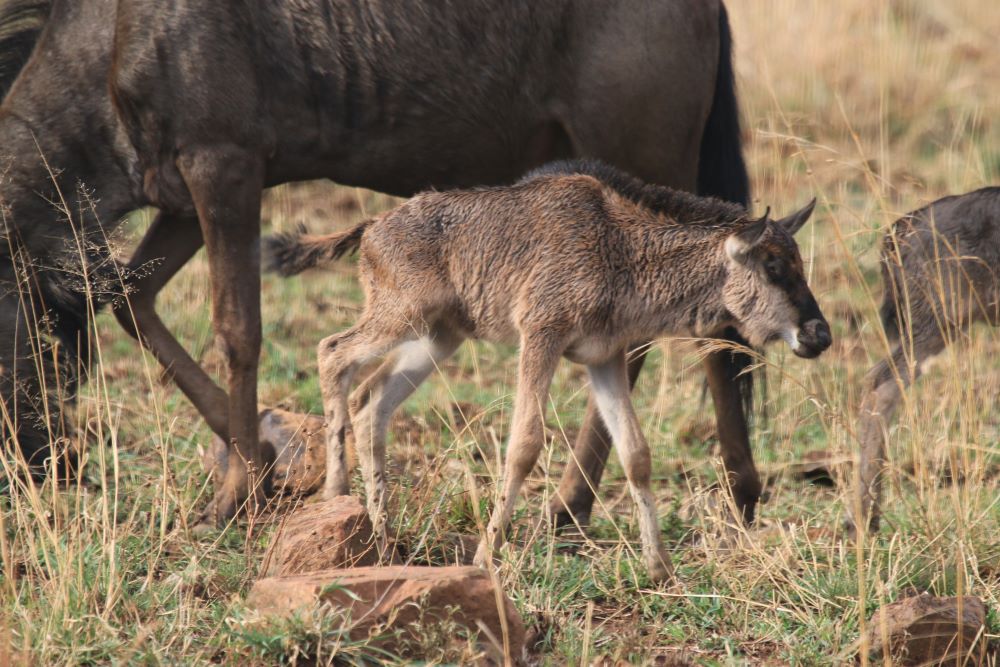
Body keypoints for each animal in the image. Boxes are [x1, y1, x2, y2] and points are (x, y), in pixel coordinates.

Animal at [264, 160, 831, 582]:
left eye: (801, 265)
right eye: (774, 267)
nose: (819, 335)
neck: (621, 250)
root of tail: (373, 228)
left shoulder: (604, 359)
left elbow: (636, 453)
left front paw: (660, 567)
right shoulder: (540, 336)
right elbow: (524, 445)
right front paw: (486, 556)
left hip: (437, 336)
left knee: (371, 400)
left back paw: (381, 536)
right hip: (400, 317)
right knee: (332, 352)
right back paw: (337, 493)